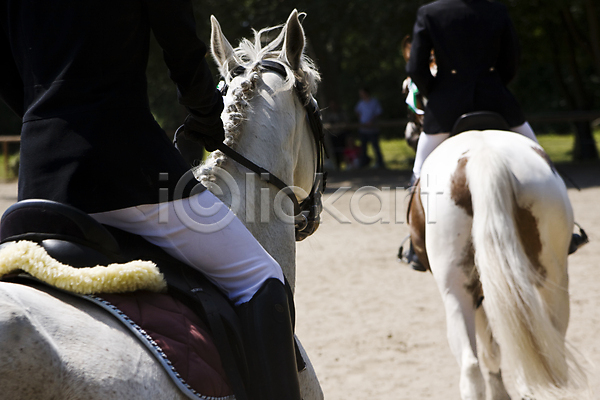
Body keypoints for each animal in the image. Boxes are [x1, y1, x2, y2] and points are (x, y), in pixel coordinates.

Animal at [408, 130, 584, 398]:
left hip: (456, 291)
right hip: (553, 278)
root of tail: (486, 157)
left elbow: (490, 351)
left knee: (471, 368)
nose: (409, 134)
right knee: (553, 354)